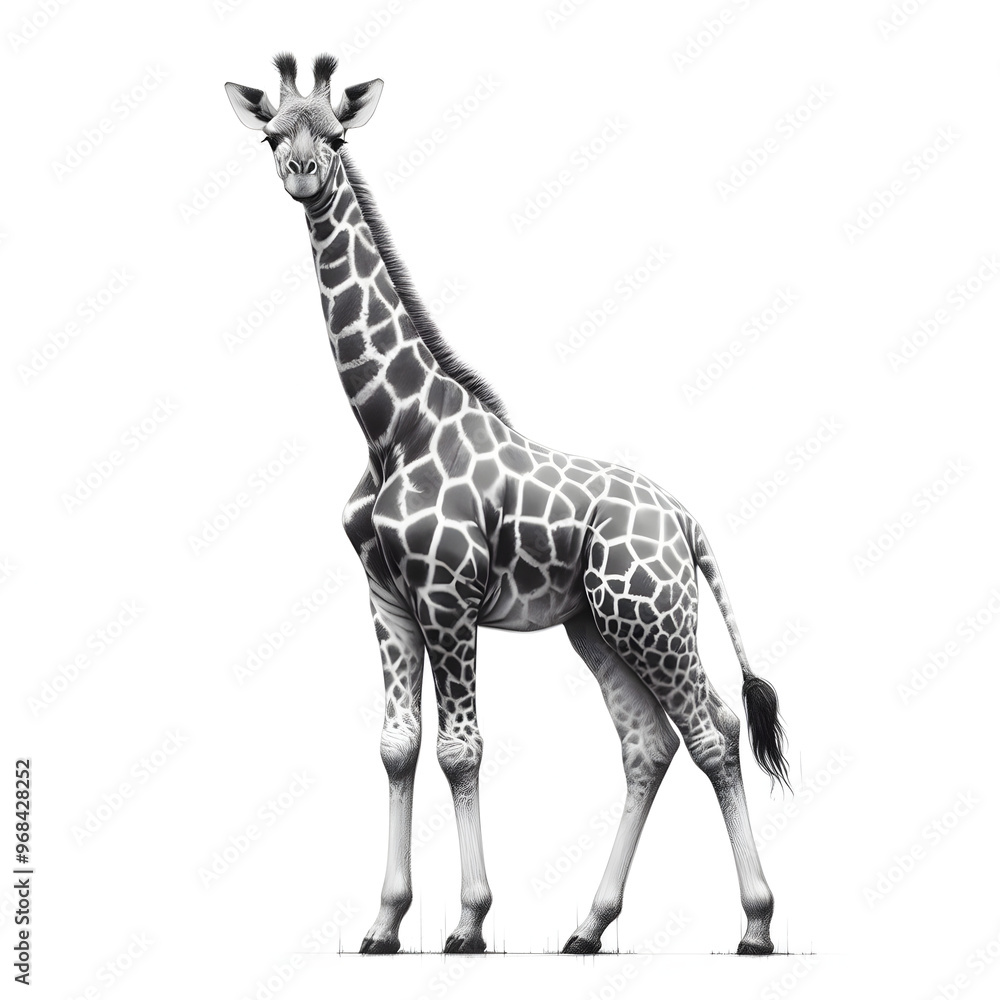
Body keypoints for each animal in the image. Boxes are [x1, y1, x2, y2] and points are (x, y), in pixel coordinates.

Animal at [226, 53, 791, 957]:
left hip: (652, 614)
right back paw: (587, 928)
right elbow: (398, 746)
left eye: (339, 134)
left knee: (714, 731)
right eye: (274, 136)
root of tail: (684, 519)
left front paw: (468, 922)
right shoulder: (387, 594)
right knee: (647, 743)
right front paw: (383, 924)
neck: (392, 426)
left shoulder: (447, 594)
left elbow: (460, 750)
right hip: (594, 624)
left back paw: (757, 927)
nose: (304, 174)